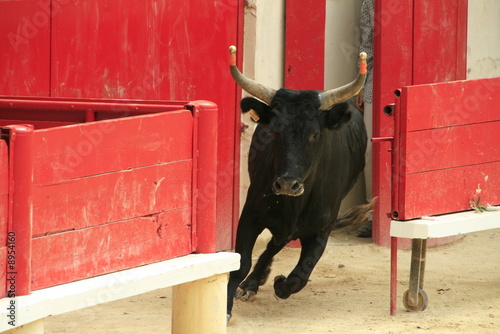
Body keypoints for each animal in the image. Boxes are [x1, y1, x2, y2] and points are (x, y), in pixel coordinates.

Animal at [229, 88, 370, 318]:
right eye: (273, 131)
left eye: (315, 134)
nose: (287, 184)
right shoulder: (250, 216)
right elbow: (241, 264)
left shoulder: (322, 230)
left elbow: (299, 277)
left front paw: (279, 282)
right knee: (275, 244)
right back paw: (251, 283)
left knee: (277, 245)